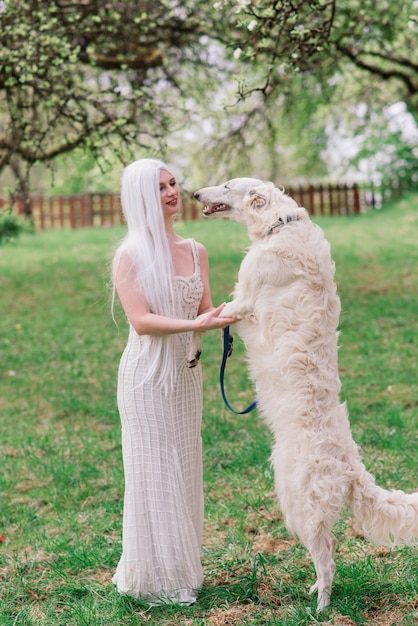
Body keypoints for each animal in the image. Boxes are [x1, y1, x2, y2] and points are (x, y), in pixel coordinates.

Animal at [194, 178, 418, 608]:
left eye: (228, 185)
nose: (195, 193)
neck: (282, 225)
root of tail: (350, 467)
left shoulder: (240, 301)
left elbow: (204, 318)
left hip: (299, 502)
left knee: (327, 557)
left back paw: (321, 606)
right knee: (327, 552)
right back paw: (315, 591)